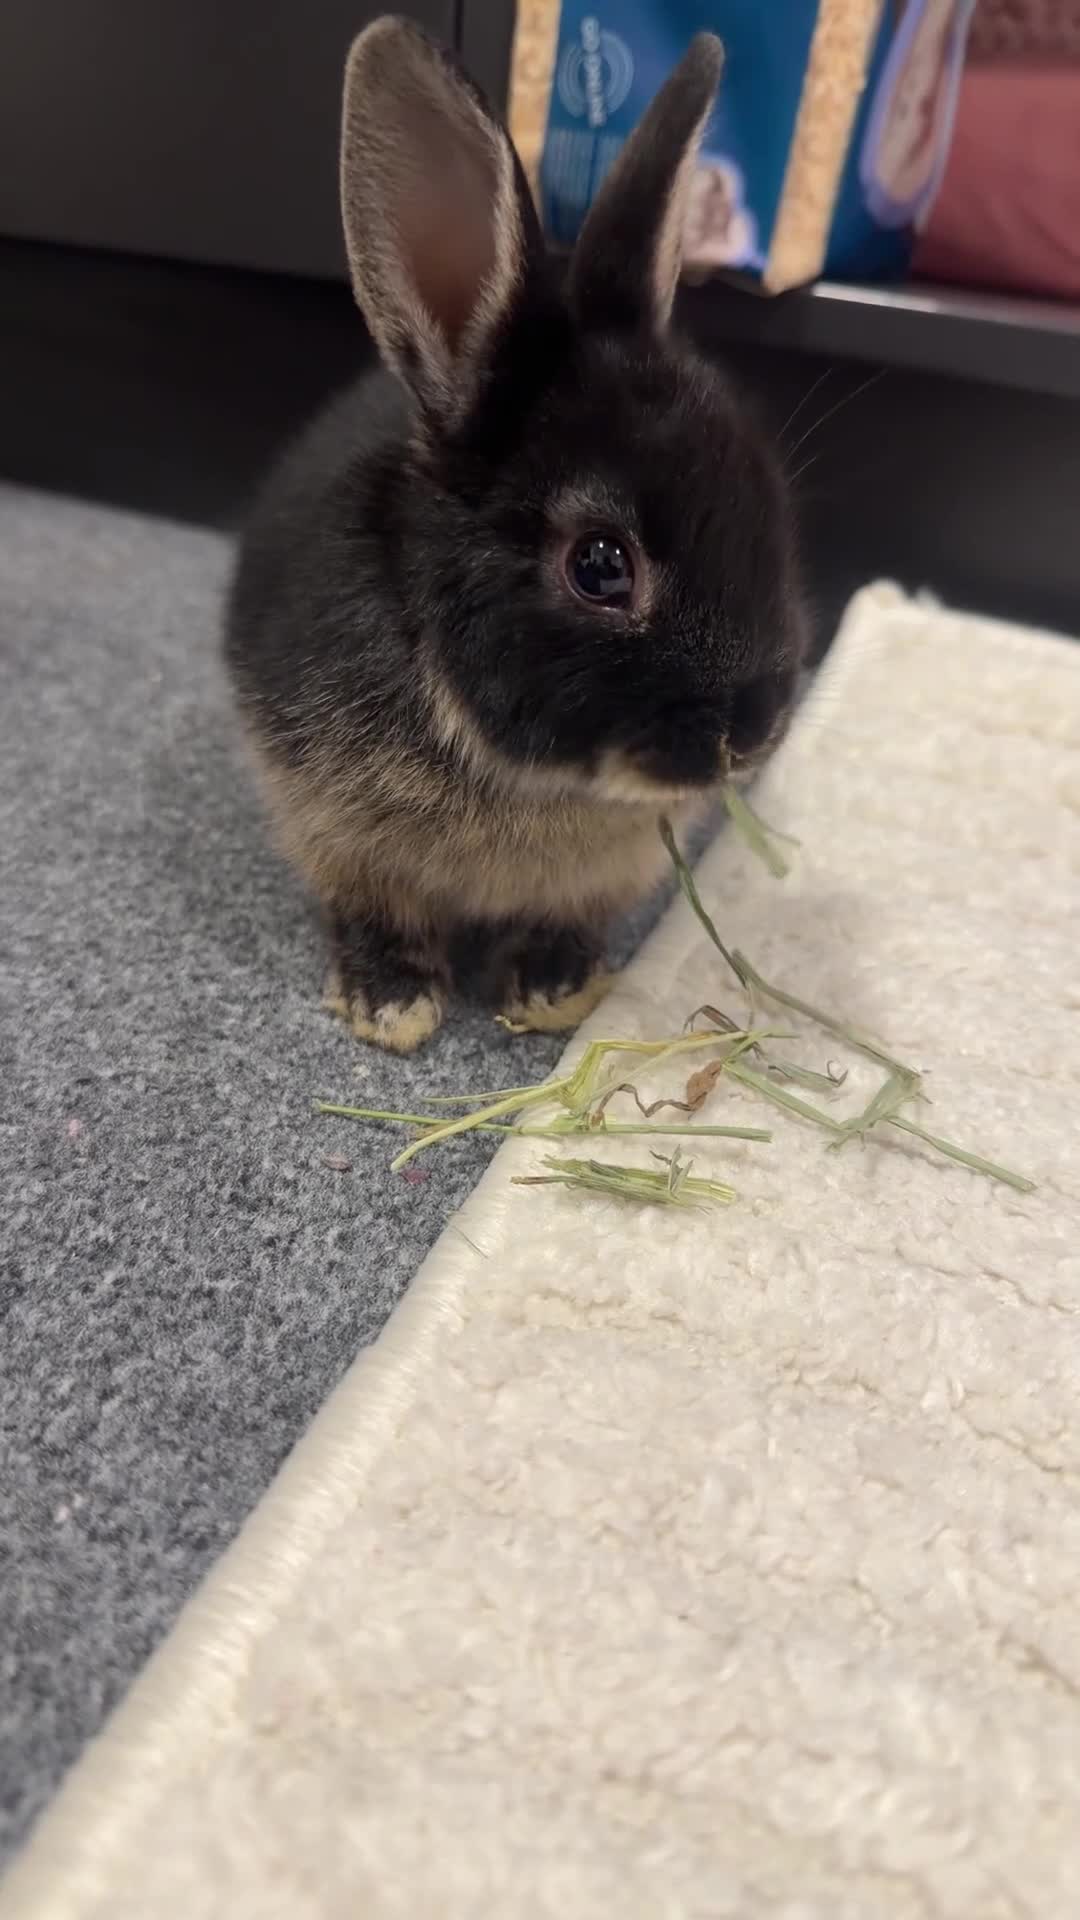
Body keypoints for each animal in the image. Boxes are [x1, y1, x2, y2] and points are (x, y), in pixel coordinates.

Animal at [224, 16, 807, 1053]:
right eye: (601, 565)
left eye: (767, 499)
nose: (755, 731)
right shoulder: (335, 830)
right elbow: (377, 911)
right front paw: (393, 1008)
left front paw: (553, 990)